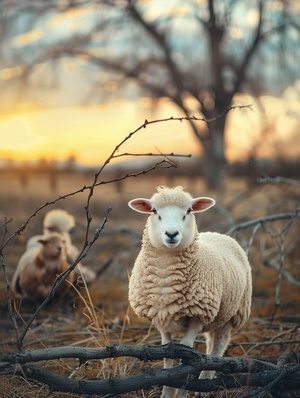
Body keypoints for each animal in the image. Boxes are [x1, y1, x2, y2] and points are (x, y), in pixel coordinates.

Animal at [127, 187, 252, 398]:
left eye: (188, 211)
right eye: (154, 211)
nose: (171, 233)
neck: (166, 277)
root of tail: (217, 233)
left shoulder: (197, 316)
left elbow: (186, 356)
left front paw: (182, 389)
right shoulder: (161, 318)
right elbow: (168, 359)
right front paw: (167, 392)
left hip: (231, 313)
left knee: (218, 346)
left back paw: (204, 383)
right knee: (210, 344)